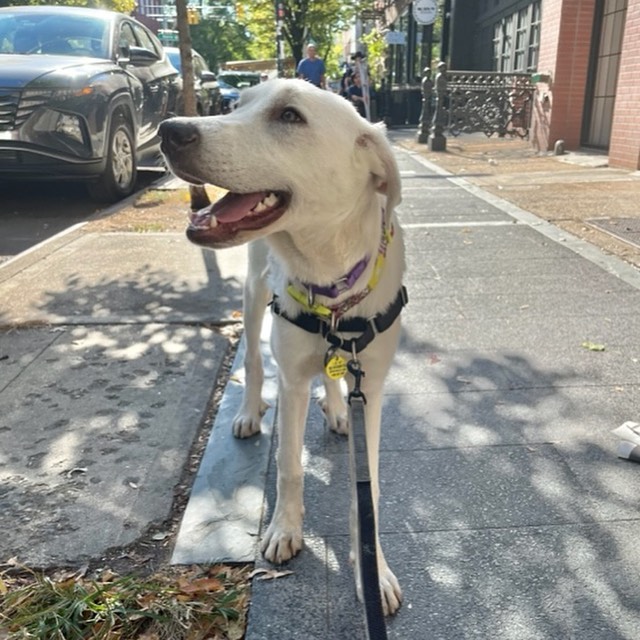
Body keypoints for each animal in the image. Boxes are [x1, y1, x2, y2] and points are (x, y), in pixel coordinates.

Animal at [162, 80, 408, 616]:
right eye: (236, 105)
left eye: (290, 116)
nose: (170, 129)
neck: (329, 278)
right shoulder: (292, 379)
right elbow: (289, 467)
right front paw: (284, 529)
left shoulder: (374, 386)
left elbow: (370, 486)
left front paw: (373, 569)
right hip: (254, 293)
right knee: (255, 361)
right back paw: (250, 412)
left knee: (331, 376)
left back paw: (336, 410)